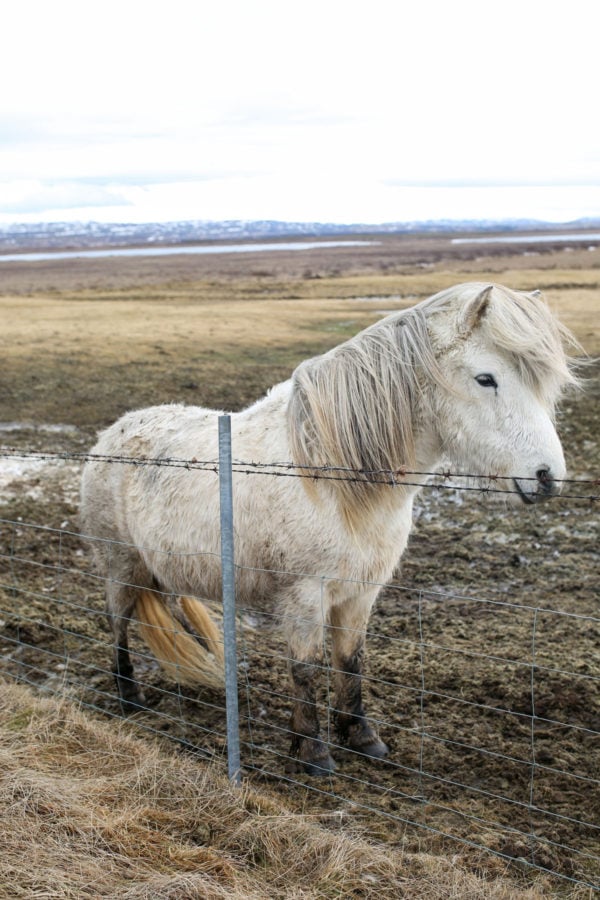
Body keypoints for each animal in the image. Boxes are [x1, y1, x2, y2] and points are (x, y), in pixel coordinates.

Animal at [79, 282, 578, 775]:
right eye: (485, 378)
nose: (547, 477)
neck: (334, 480)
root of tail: (114, 431)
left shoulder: (360, 593)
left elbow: (350, 661)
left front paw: (361, 737)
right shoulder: (306, 594)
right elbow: (306, 667)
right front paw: (313, 753)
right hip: (120, 566)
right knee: (118, 624)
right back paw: (129, 697)